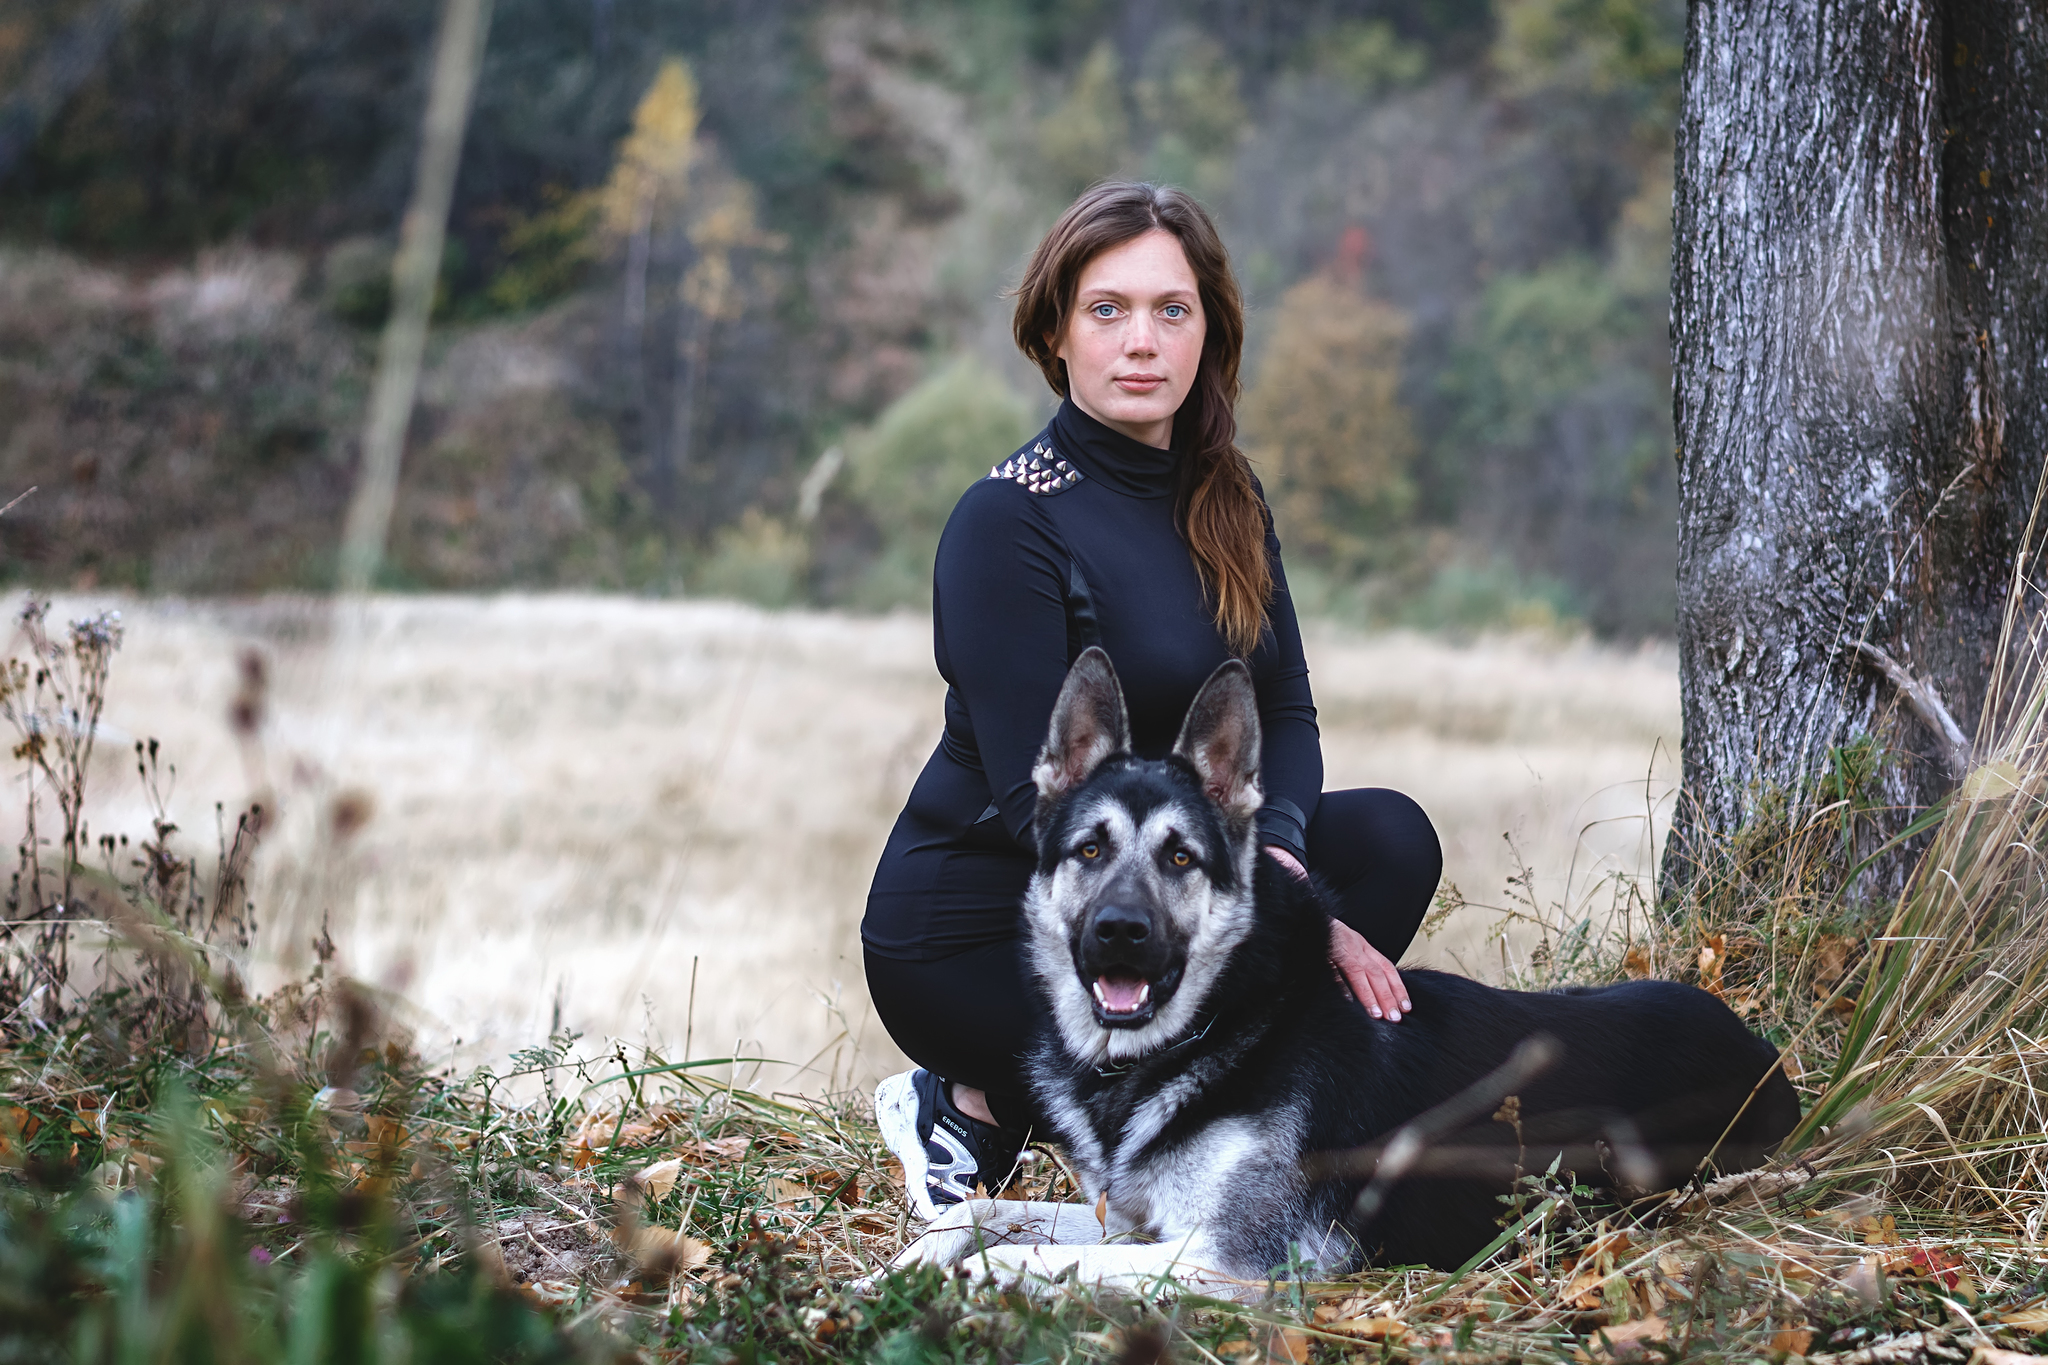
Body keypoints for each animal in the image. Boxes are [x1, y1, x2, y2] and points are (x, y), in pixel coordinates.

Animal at [888, 654, 1802, 1301]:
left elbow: (1026, 1262)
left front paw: (954, 1278)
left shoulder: (1225, 1258)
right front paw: (897, 1266)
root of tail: (1764, 1053)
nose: (1120, 932)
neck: (1218, 1026)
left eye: (1181, 857)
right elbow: (980, 1210)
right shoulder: (1133, 1224)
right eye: (1089, 848)